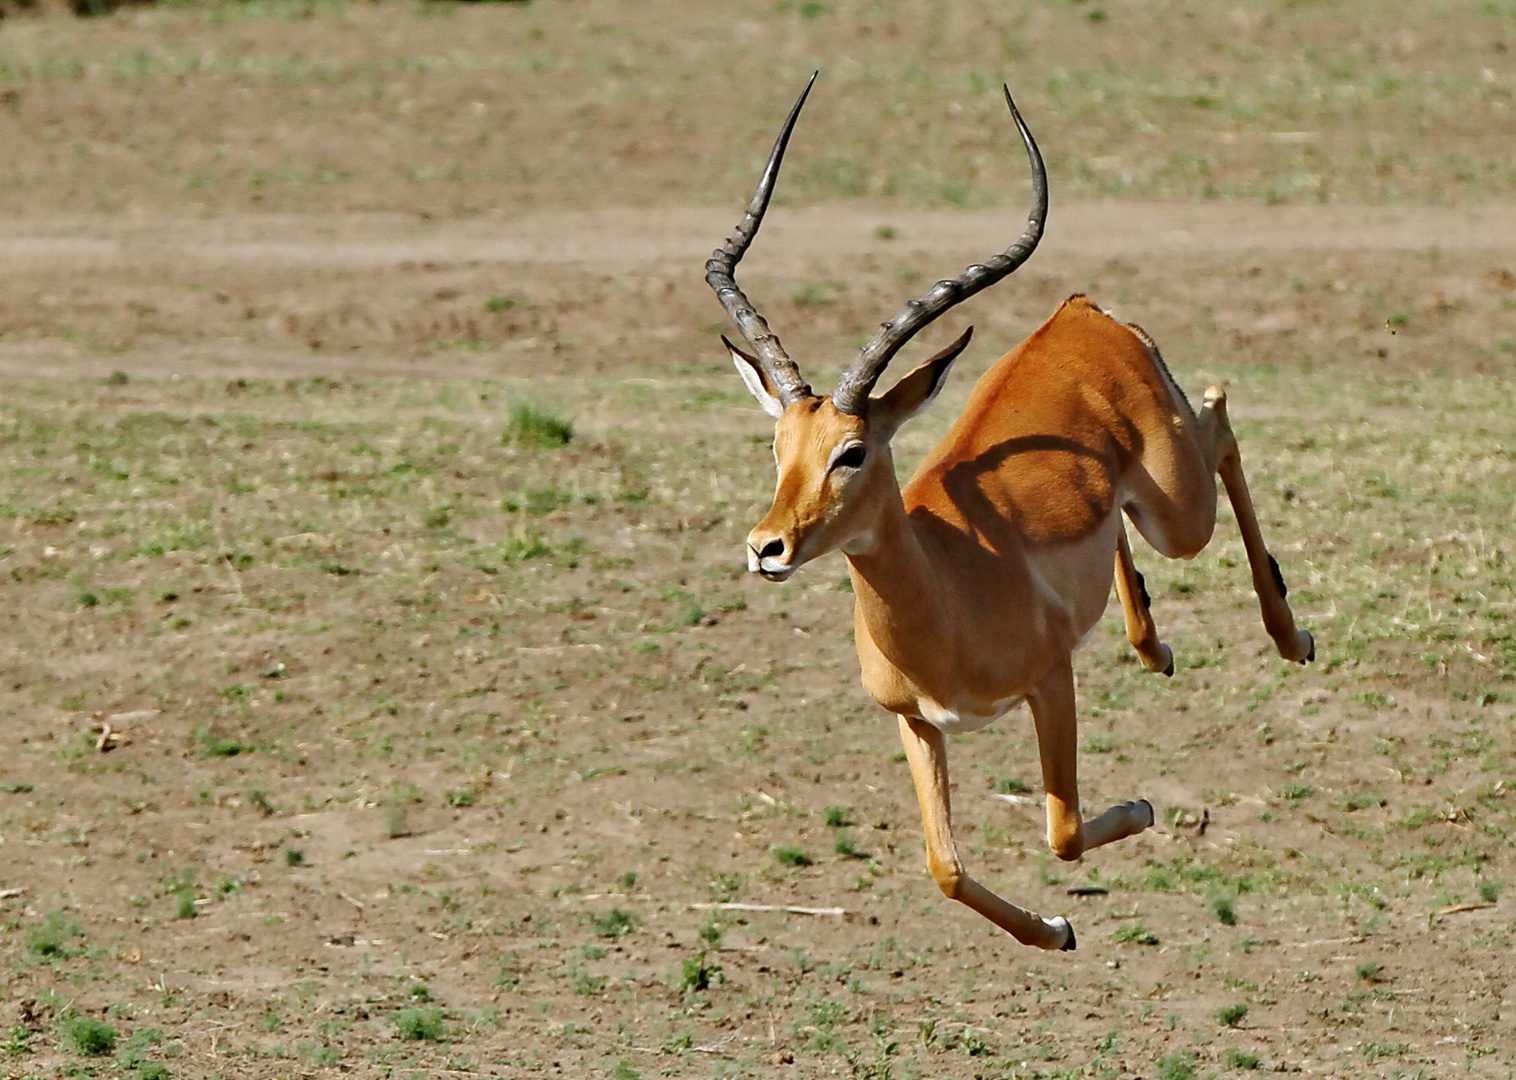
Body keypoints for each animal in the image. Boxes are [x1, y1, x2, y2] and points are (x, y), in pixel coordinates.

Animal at [709, 78, 1315, 952]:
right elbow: (946, 869)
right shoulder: (919, 724)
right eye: (778, 444)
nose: (768, 547)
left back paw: (1292, 637)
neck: (951, 594)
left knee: (1220, 413)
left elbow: (1061, 830)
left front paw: (1141, 810)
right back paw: (1155, 647)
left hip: (1179, 514)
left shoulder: (1050, 682)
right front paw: (1056, 930)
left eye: (852, 451)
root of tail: (1079, 314)